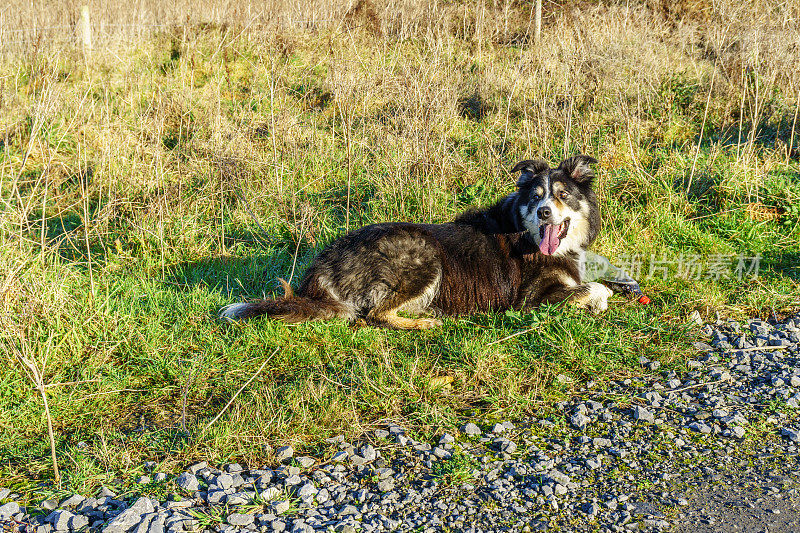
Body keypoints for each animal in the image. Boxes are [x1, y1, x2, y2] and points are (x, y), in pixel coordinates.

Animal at [219, 155, 612, 328]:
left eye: (562, 195)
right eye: (535, 197)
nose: (544, 213)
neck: (525, 233)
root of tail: (323, 266)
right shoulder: (531, 300)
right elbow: (596, 287)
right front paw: (598, 300)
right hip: (422, 255)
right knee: (375, 315)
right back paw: (427, 322)